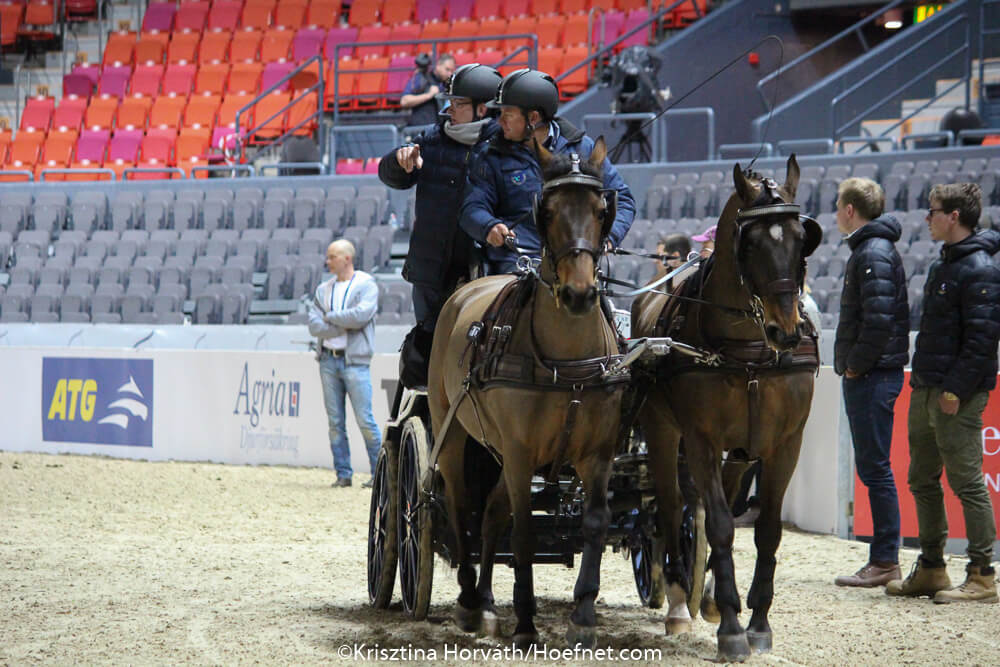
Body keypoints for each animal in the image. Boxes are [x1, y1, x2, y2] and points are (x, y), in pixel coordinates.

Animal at [426, 138, 628, 649]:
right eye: (549, 210)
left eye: (602, 210)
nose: (578, 294)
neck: (566, 364)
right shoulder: (520, 452)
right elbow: (522, 537)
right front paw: (526, 621)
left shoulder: (597, 453)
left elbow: (594, 524)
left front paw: (584, 614)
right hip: (454, 434)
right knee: (460, 509)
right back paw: (468, 600)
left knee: (491, 513)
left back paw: (486, 602)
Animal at [631, 156, 821, 661]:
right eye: (750, 243)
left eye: (801, 237)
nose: (785, 331)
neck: (748, 349)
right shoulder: (700, 440)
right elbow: (717, 525)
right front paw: (733, 630)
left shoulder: (785, 444)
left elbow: (767, 530)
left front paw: (757, 622)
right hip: (661, 432)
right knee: (671, 505)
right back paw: (680, 600)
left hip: (740, 451)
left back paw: (712, 597)